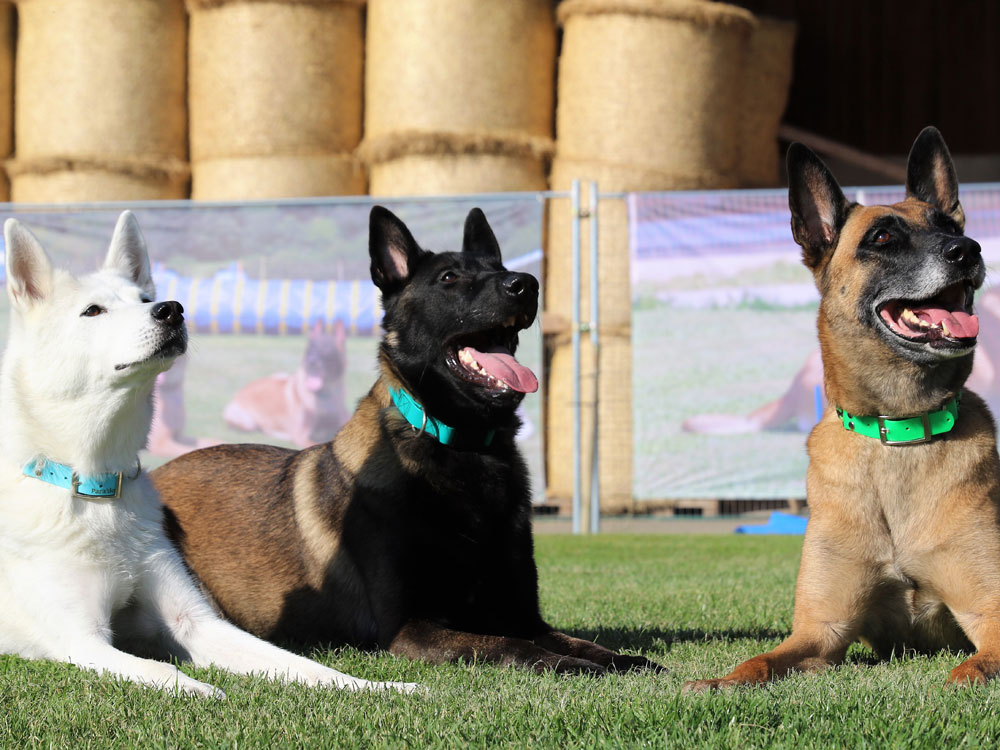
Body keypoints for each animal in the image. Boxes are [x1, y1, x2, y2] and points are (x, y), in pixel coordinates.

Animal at [0, 213, 416, 700]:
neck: (96, 486)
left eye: (145, 299)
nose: (172, 309)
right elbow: (164, 671)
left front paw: (383, 686)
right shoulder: (81, 640)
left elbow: (304, 666)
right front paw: (206, 692)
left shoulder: (195, 621)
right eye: (93, 311)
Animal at [152, 206, 660, 676]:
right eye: (450, 277)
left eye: (498, 268)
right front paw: (573, 667)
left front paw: (625, 661)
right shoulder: (410, 629)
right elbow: (512, 648)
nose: (527, 284)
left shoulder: (523, 616)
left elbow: (576, 642)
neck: (463, 448)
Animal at [684, 125, 1000, 692]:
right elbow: (759, 661)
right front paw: (720, 682)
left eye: (948, 226)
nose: (968, 249)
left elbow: (975, 665)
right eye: (882, 238)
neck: (898, 432)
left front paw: (964, 678)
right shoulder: (821, 630)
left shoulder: (992, 615)